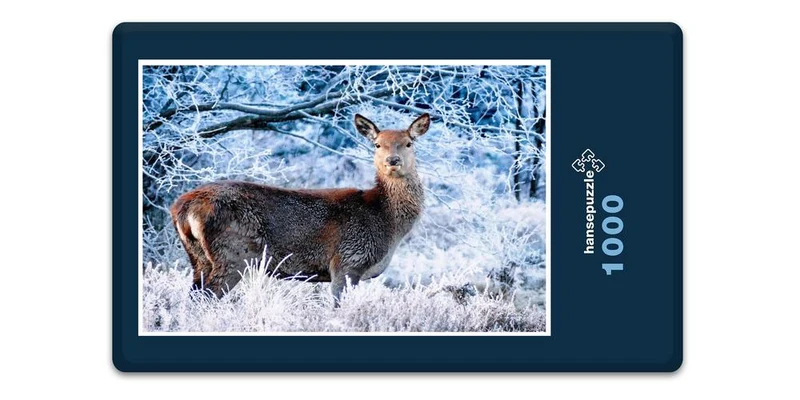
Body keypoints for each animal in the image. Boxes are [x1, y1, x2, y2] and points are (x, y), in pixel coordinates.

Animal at [170, 113, 430, 303]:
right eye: (377, 144)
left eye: (408, 143)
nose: (392, 161)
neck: (386, 221)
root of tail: (182, 208)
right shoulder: (347, 261)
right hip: (233, 254)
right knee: (205, 298)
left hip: (199, 258)